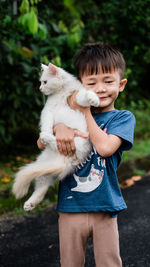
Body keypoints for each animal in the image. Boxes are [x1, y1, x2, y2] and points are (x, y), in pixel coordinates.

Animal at [12, 63, 99, 211]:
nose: (40, 88)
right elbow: (46, 122)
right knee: (41, 188)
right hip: (43, 166)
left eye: (45, 82)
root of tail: (67, 160)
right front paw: (46, 132)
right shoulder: (48, 110)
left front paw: (94, 99)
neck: (62, 92)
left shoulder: (77, 98)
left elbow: (84, 95)